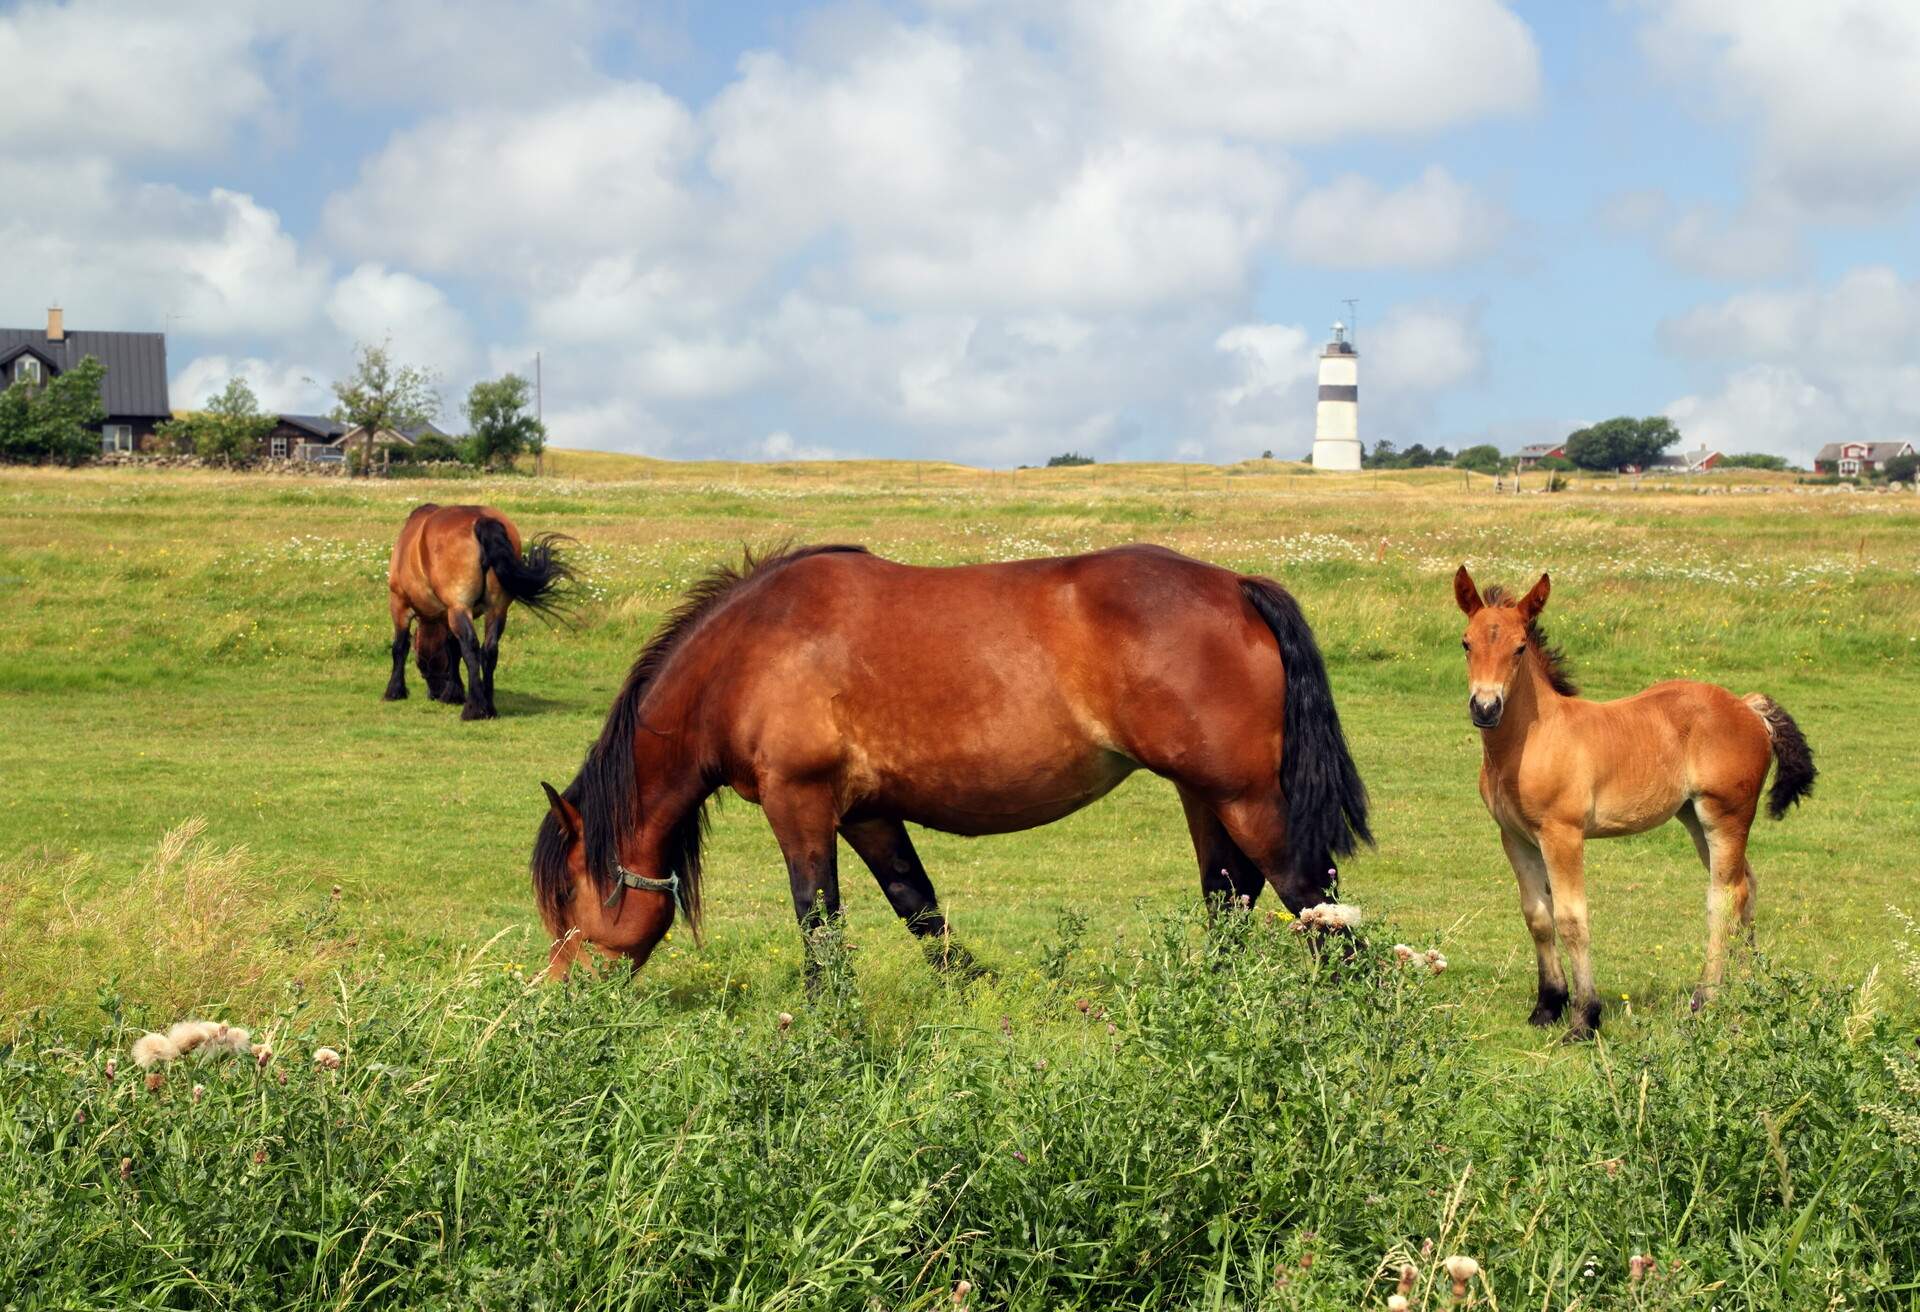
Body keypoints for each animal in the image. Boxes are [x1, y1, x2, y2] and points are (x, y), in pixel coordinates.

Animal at [385, 507, 568, 729]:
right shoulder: (448, 615)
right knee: (489, 650)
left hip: (460, 607)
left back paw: (474, 709)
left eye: (421, 665)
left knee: (471, 647)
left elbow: (400, 647)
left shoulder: (400, 605)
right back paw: (488, 706)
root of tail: (483, 521)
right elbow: (453, 649)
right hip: (497, 610)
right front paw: (453, 693)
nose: (434, 694)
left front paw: (394, 690)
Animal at [1451, 568, 1812, 1044]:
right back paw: (1748, 987)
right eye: (1466, 642)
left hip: (1726, 815)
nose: (1486, 707)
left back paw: (1705, 1000)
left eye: (1520, 647)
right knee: (1745, 887)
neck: (1532, 739)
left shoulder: (1562, 834)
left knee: (1725, 897)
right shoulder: (1514, 836)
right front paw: (1546, 1008)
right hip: (1693, 817)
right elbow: (1538, 917)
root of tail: (1748, 707)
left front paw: (1584, 1019)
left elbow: (1572, 919)